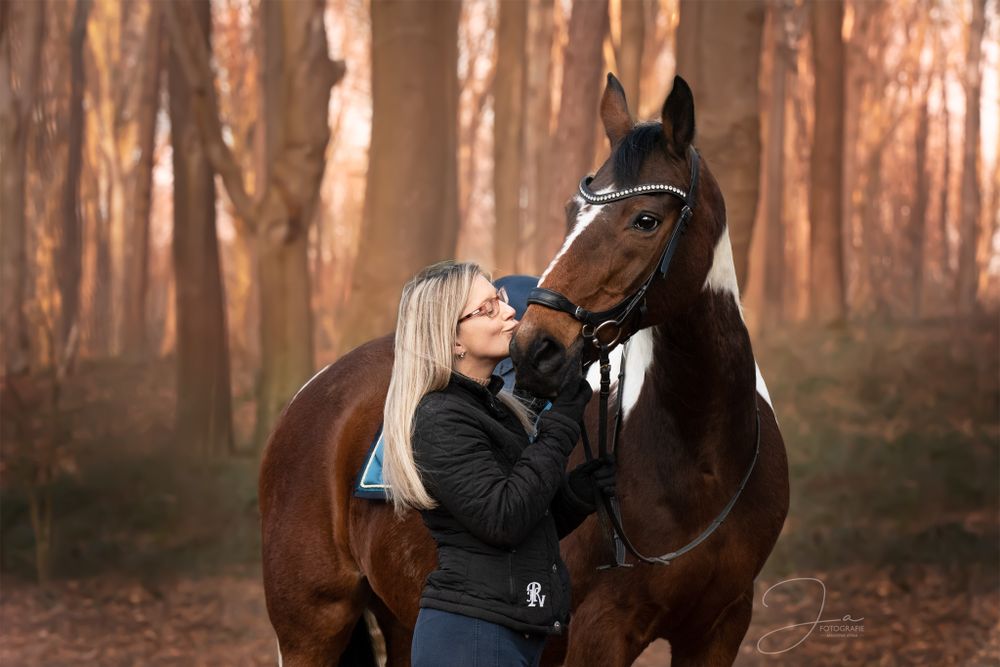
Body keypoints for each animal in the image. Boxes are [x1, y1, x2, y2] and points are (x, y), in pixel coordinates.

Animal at [258, 74, 789, 667]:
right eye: (571, 213)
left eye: (647, 220)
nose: (536, 348)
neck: (703, 459)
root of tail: (311, 395)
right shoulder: (601, 632)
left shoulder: (720, 627)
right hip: (311, 628)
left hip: (400, 617)